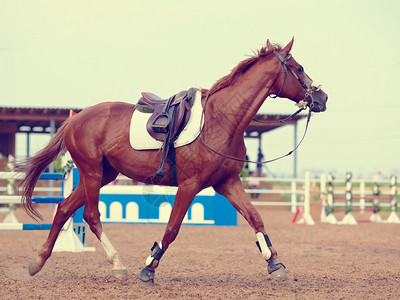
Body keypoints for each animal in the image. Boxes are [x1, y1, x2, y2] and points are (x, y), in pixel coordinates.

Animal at [16, 38, 328, 284]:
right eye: (299, 68)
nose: (322, 97)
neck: (221, 120)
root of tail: (75, 119)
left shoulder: (227, 183)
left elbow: (256, 219)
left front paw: (275, 263)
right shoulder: (190, 185)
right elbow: (172, 228)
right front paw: (148, 269)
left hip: (103, 174)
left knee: (63, 208)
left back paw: (37, 262)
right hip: (92, 173)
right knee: (90, 216)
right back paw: (118, 265)